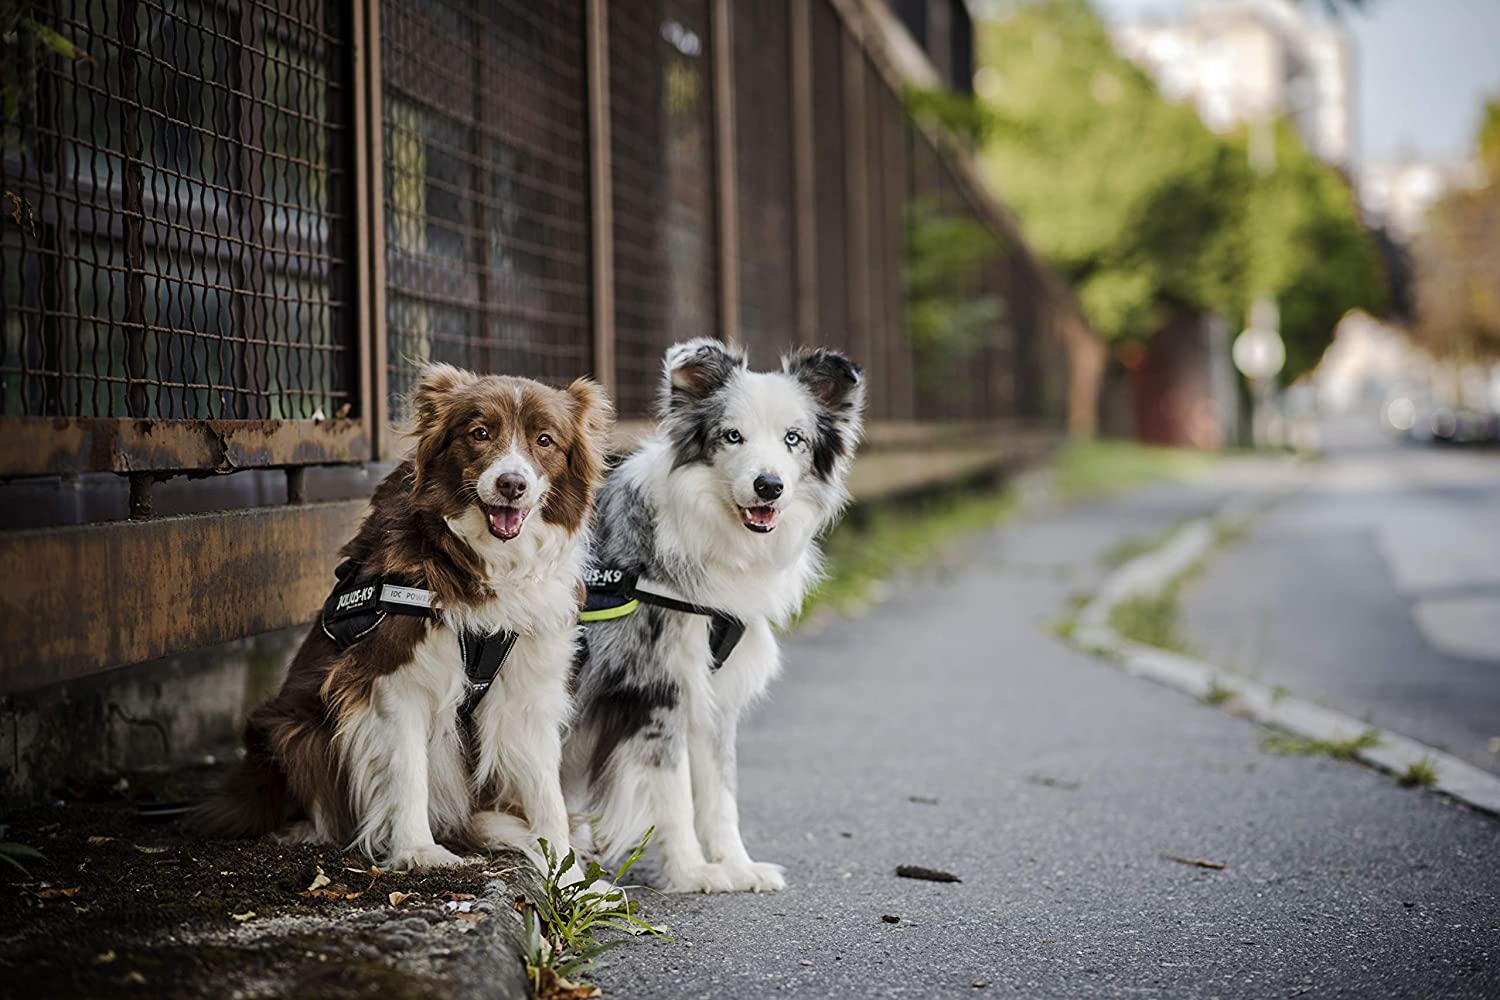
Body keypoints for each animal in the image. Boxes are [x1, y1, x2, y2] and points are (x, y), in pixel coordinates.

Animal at [198, 365, 609, 869]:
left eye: (545, 440)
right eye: (480, 433)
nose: (512, 484)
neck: (484, 566)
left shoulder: (527, 690)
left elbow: (548, 795)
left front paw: (569, 875)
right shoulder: (393, 674)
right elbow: (408, 770)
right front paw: (418, 850)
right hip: (292, 730)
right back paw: (304, 831)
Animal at [564, 335, 870, 893]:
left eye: (793, 438)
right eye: (733, 436)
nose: (768, 485)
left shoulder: (714, 695)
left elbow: (720, 794)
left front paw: (738, 867)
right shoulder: (657, 688)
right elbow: (673, 794)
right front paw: (692, 872)